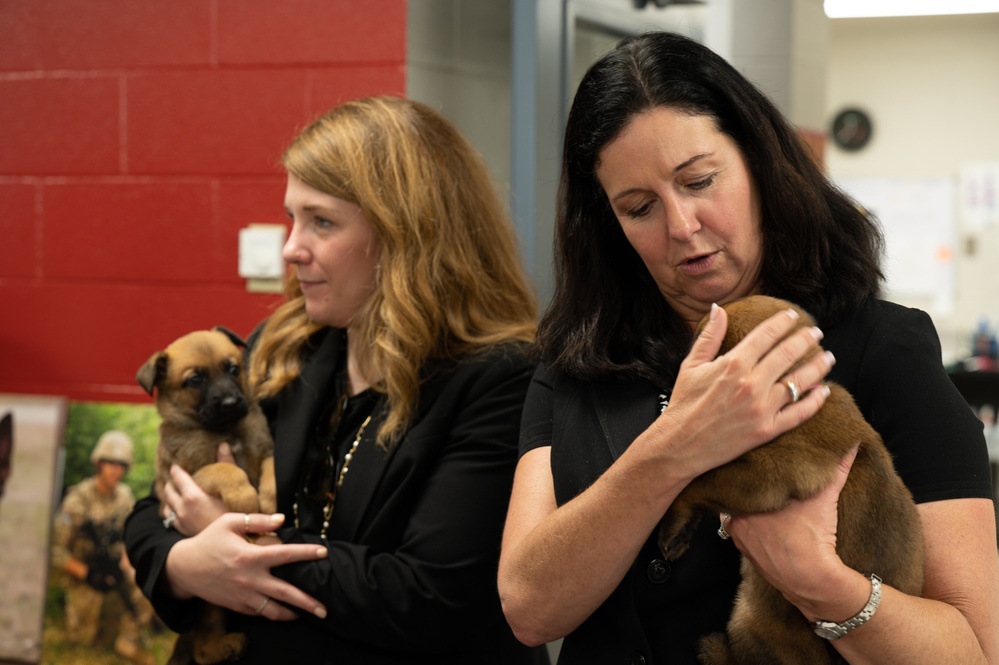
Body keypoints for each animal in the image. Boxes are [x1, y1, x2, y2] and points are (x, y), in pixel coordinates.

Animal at [137, 326, 276, 664]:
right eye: (195, 380)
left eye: (233, 369)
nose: (231, 402)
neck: (225, 429)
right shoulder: (190, 475)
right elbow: (228, 470)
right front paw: (246, 499)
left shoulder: (264, 448)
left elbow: (272, 467)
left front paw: (268, 498)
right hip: (211, 598)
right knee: (201, 648)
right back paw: (225, 646)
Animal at [660, 296, 924, 664]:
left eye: (701, 340)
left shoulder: (768, 476)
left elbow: (696, 482)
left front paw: (672, 527)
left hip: (748, 617)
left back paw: (714, 651)